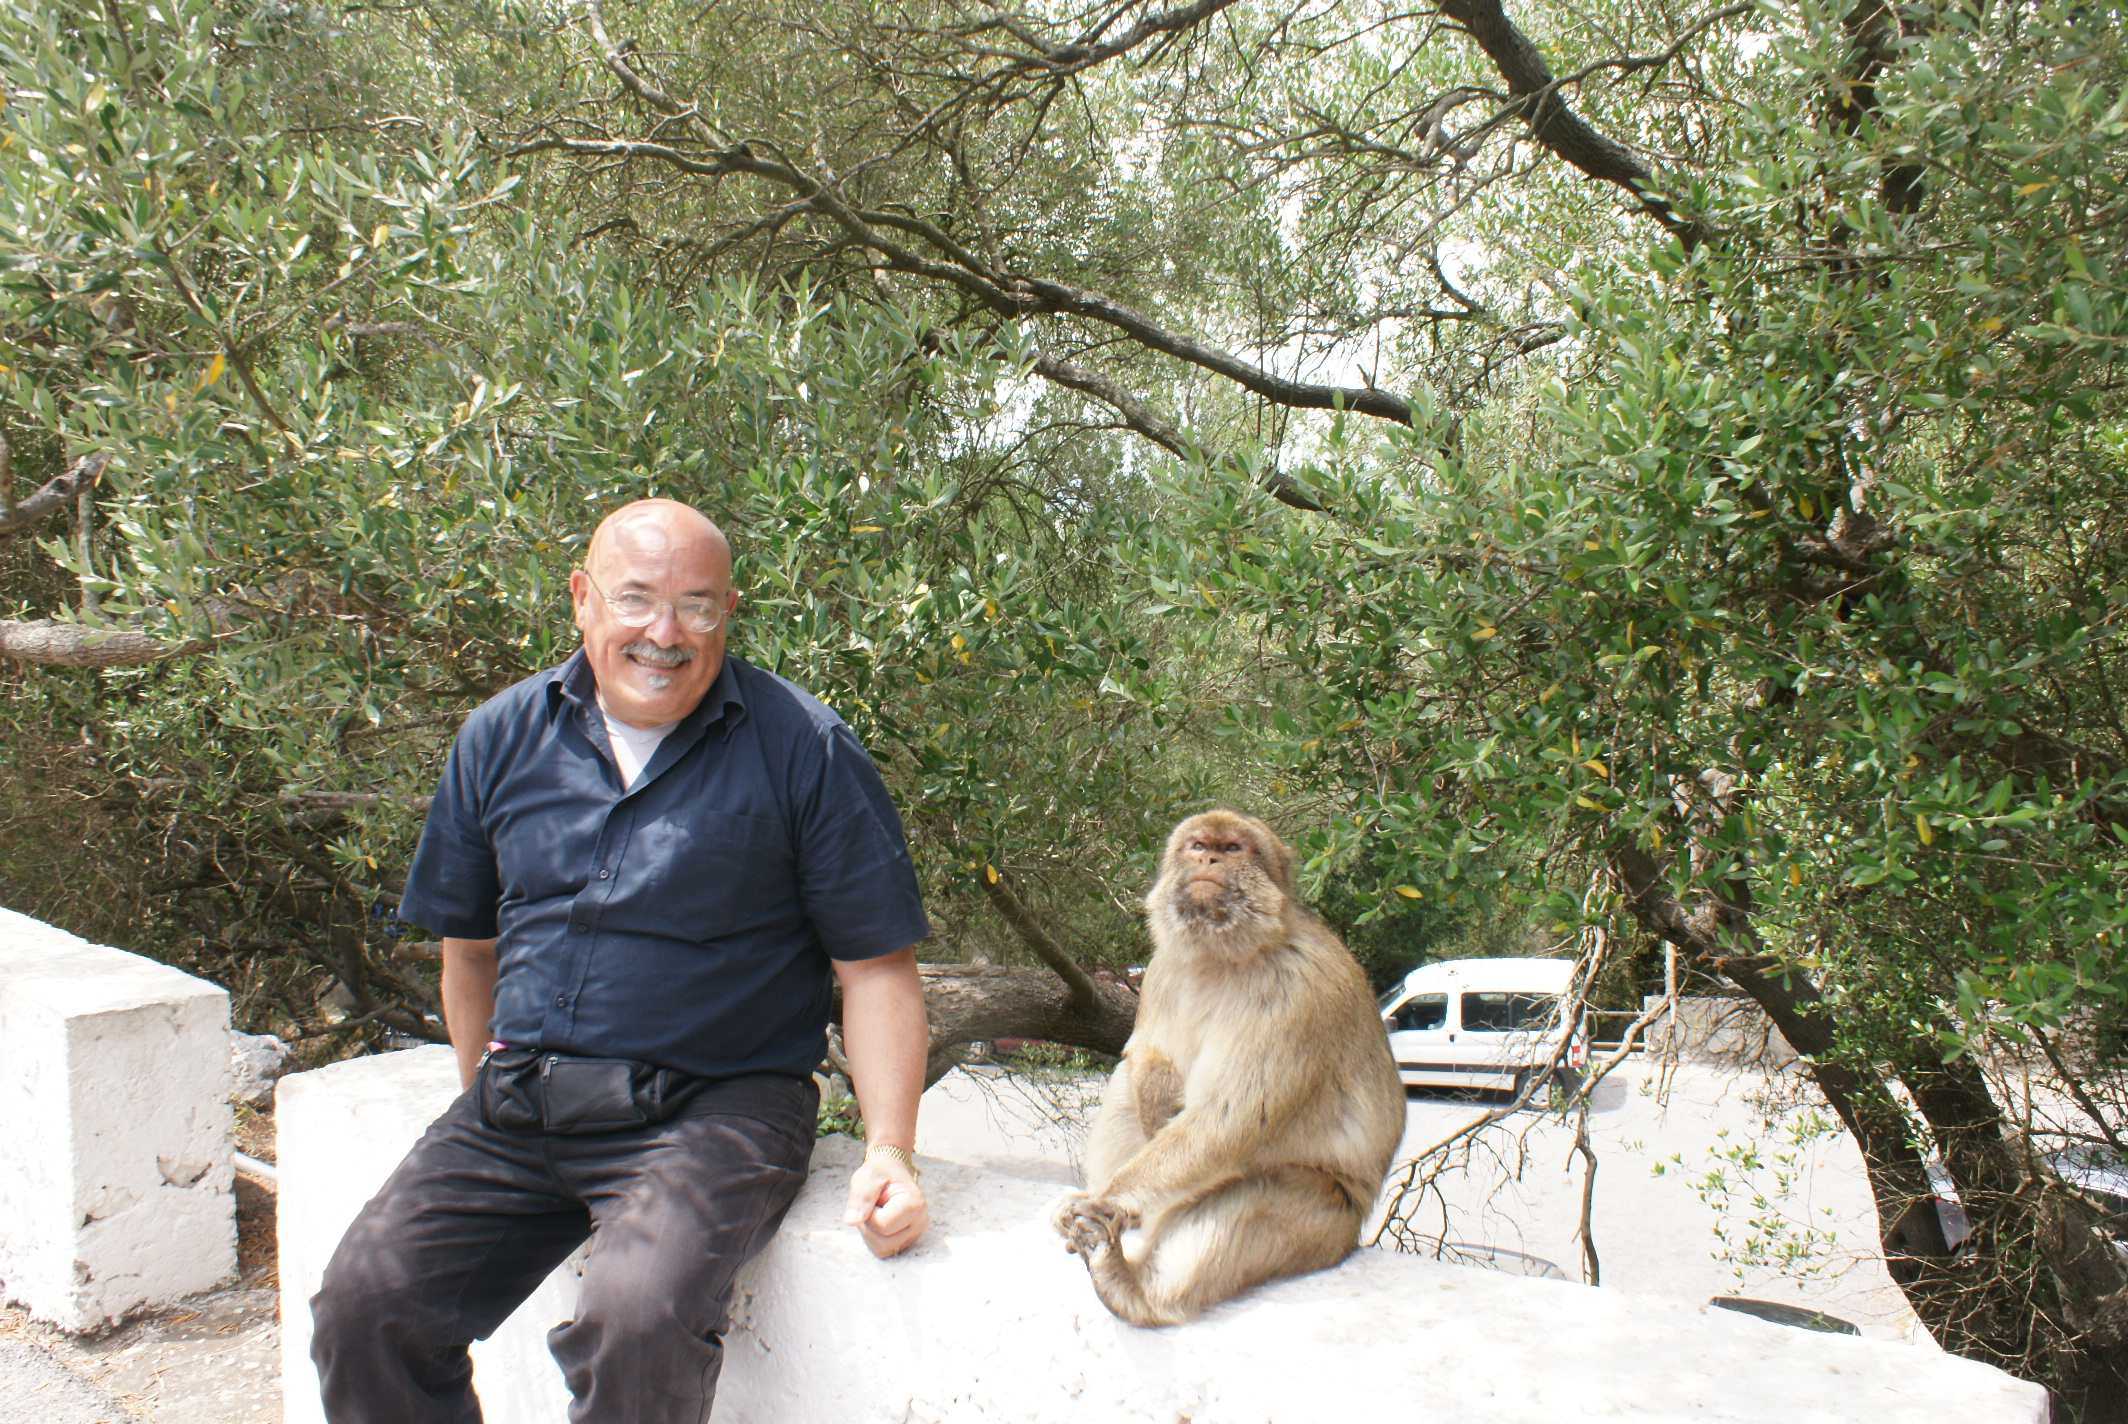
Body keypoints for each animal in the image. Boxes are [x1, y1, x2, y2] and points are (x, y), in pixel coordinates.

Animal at [1051, 810, 1406, 1326]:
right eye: (1199, 844)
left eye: (1233, 848)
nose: (1209, 860)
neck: (1220, 954)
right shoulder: (1160, 968)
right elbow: (1145, 1053)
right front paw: (1157, 1095)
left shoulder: (1296, 989)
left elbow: (1233, 1116)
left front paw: (1111, 1199)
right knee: (1123, 1088)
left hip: (1326, 1218)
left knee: (1251, 1196)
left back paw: (1133, 1290)